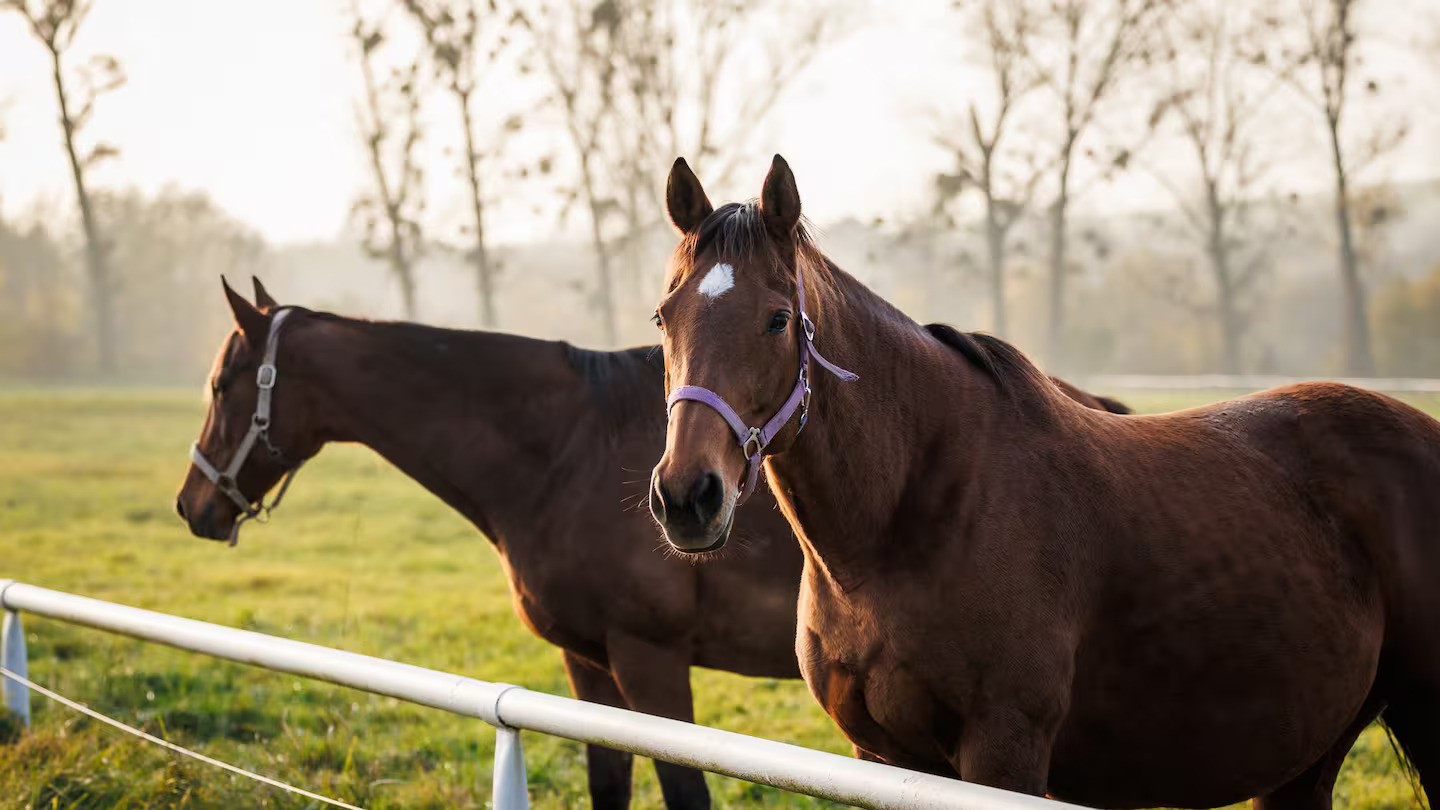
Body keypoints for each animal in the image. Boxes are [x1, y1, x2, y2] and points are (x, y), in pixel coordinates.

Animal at [174, 279, 1129, 808]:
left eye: (222, 383)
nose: (194, 505)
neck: (565, 449)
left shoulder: (652, 661)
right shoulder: (588, 667)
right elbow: (611, 785)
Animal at [648, 155, 1440, 809]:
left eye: (778, 319)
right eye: (663, 317)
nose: (687, 497)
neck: (913, 524)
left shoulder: (1005, 750)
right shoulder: (879, 756)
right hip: (1305, 757)